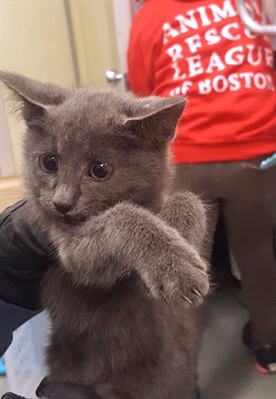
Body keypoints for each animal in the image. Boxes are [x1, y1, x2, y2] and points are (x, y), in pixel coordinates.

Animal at [1, 72, 210, 399]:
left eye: (100, 170)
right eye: (48, 162)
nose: (62, 203)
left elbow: (190, 199)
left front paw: (183, 233)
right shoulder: (67, 247)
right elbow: (121, 216)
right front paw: (177, 269)